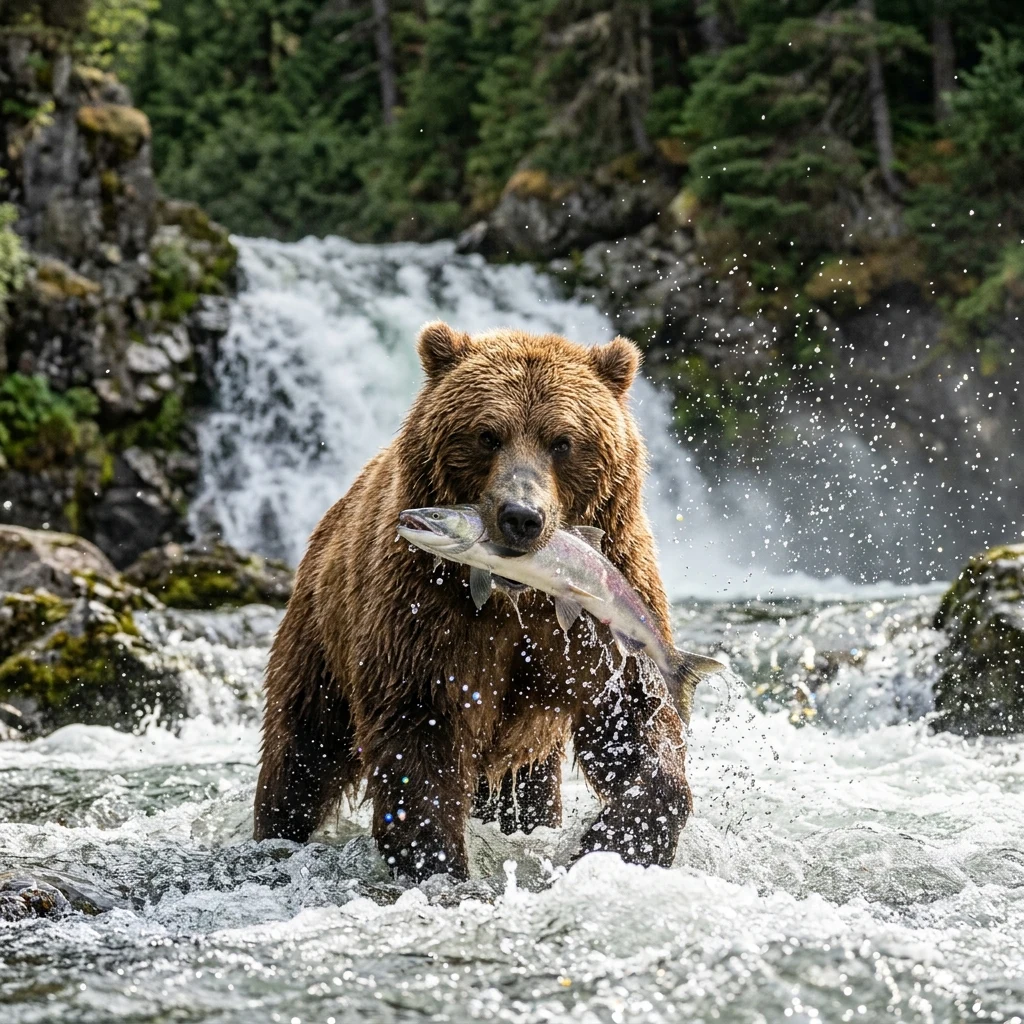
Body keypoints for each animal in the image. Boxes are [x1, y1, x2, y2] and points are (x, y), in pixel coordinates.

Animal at [253, 322, 692, 881]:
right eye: (488, 434)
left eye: (563, 441)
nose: (521, 516)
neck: (519, 596)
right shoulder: (426, 613)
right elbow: (419, 733)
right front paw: (437, 861)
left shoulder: (601, 618)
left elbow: (633, 716)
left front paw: (611, 843)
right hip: (322, 634)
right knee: (302, 749)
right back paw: (276, 833)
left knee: (527, 787)